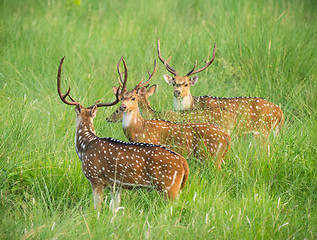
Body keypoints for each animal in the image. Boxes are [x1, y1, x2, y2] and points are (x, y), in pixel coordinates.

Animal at [56, 57, 188, 211]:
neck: (85, 146)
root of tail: (184, 163)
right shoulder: (116, 186)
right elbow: (115, 208)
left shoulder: (95, 178)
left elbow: (97, 208)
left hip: (169, 188)